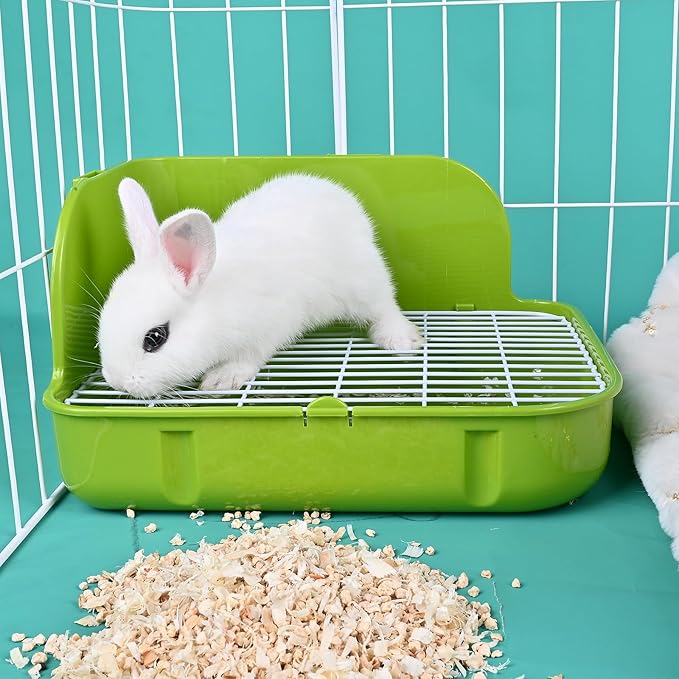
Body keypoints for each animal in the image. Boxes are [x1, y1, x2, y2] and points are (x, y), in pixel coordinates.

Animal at [97, 173, 423, 399]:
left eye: (155, 338)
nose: (119, 383)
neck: (214, 302)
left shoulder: (267, 327)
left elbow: (248, 357)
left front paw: (221, 378)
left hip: (364, 283)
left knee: (385, 307)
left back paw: (401, 340)